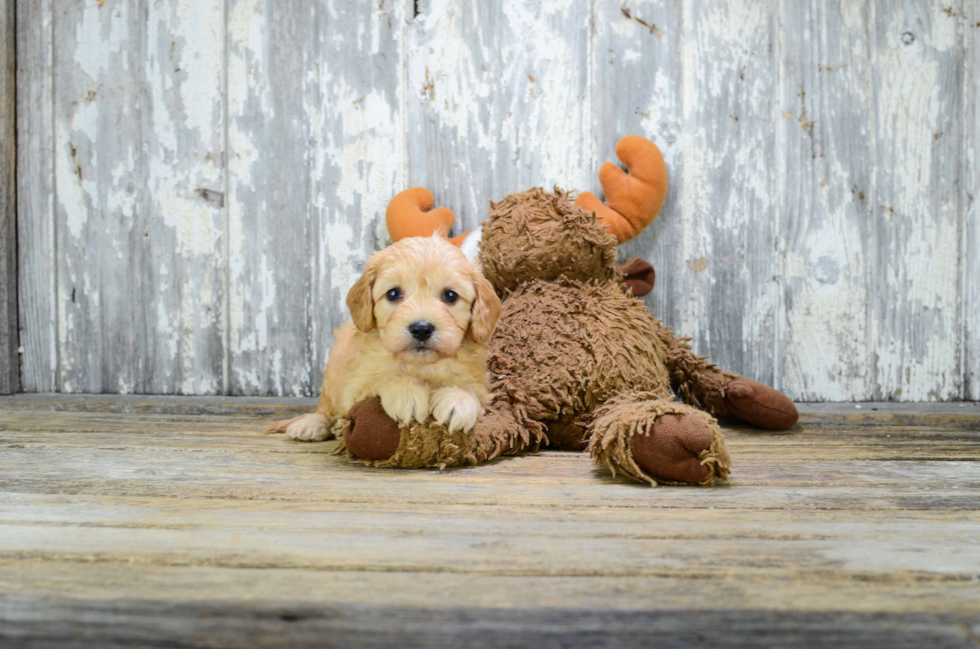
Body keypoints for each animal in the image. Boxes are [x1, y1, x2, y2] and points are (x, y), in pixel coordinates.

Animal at [266, 235, 498, 442]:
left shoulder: (480, 386)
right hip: (333, 373)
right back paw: (311, 424)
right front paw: (406, 393)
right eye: (393, 294)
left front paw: (457, 401)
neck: (420, 366)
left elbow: (471, 392)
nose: (421, 329)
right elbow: (384, 377)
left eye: (450, 296)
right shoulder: (355, 386)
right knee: (326, 409)